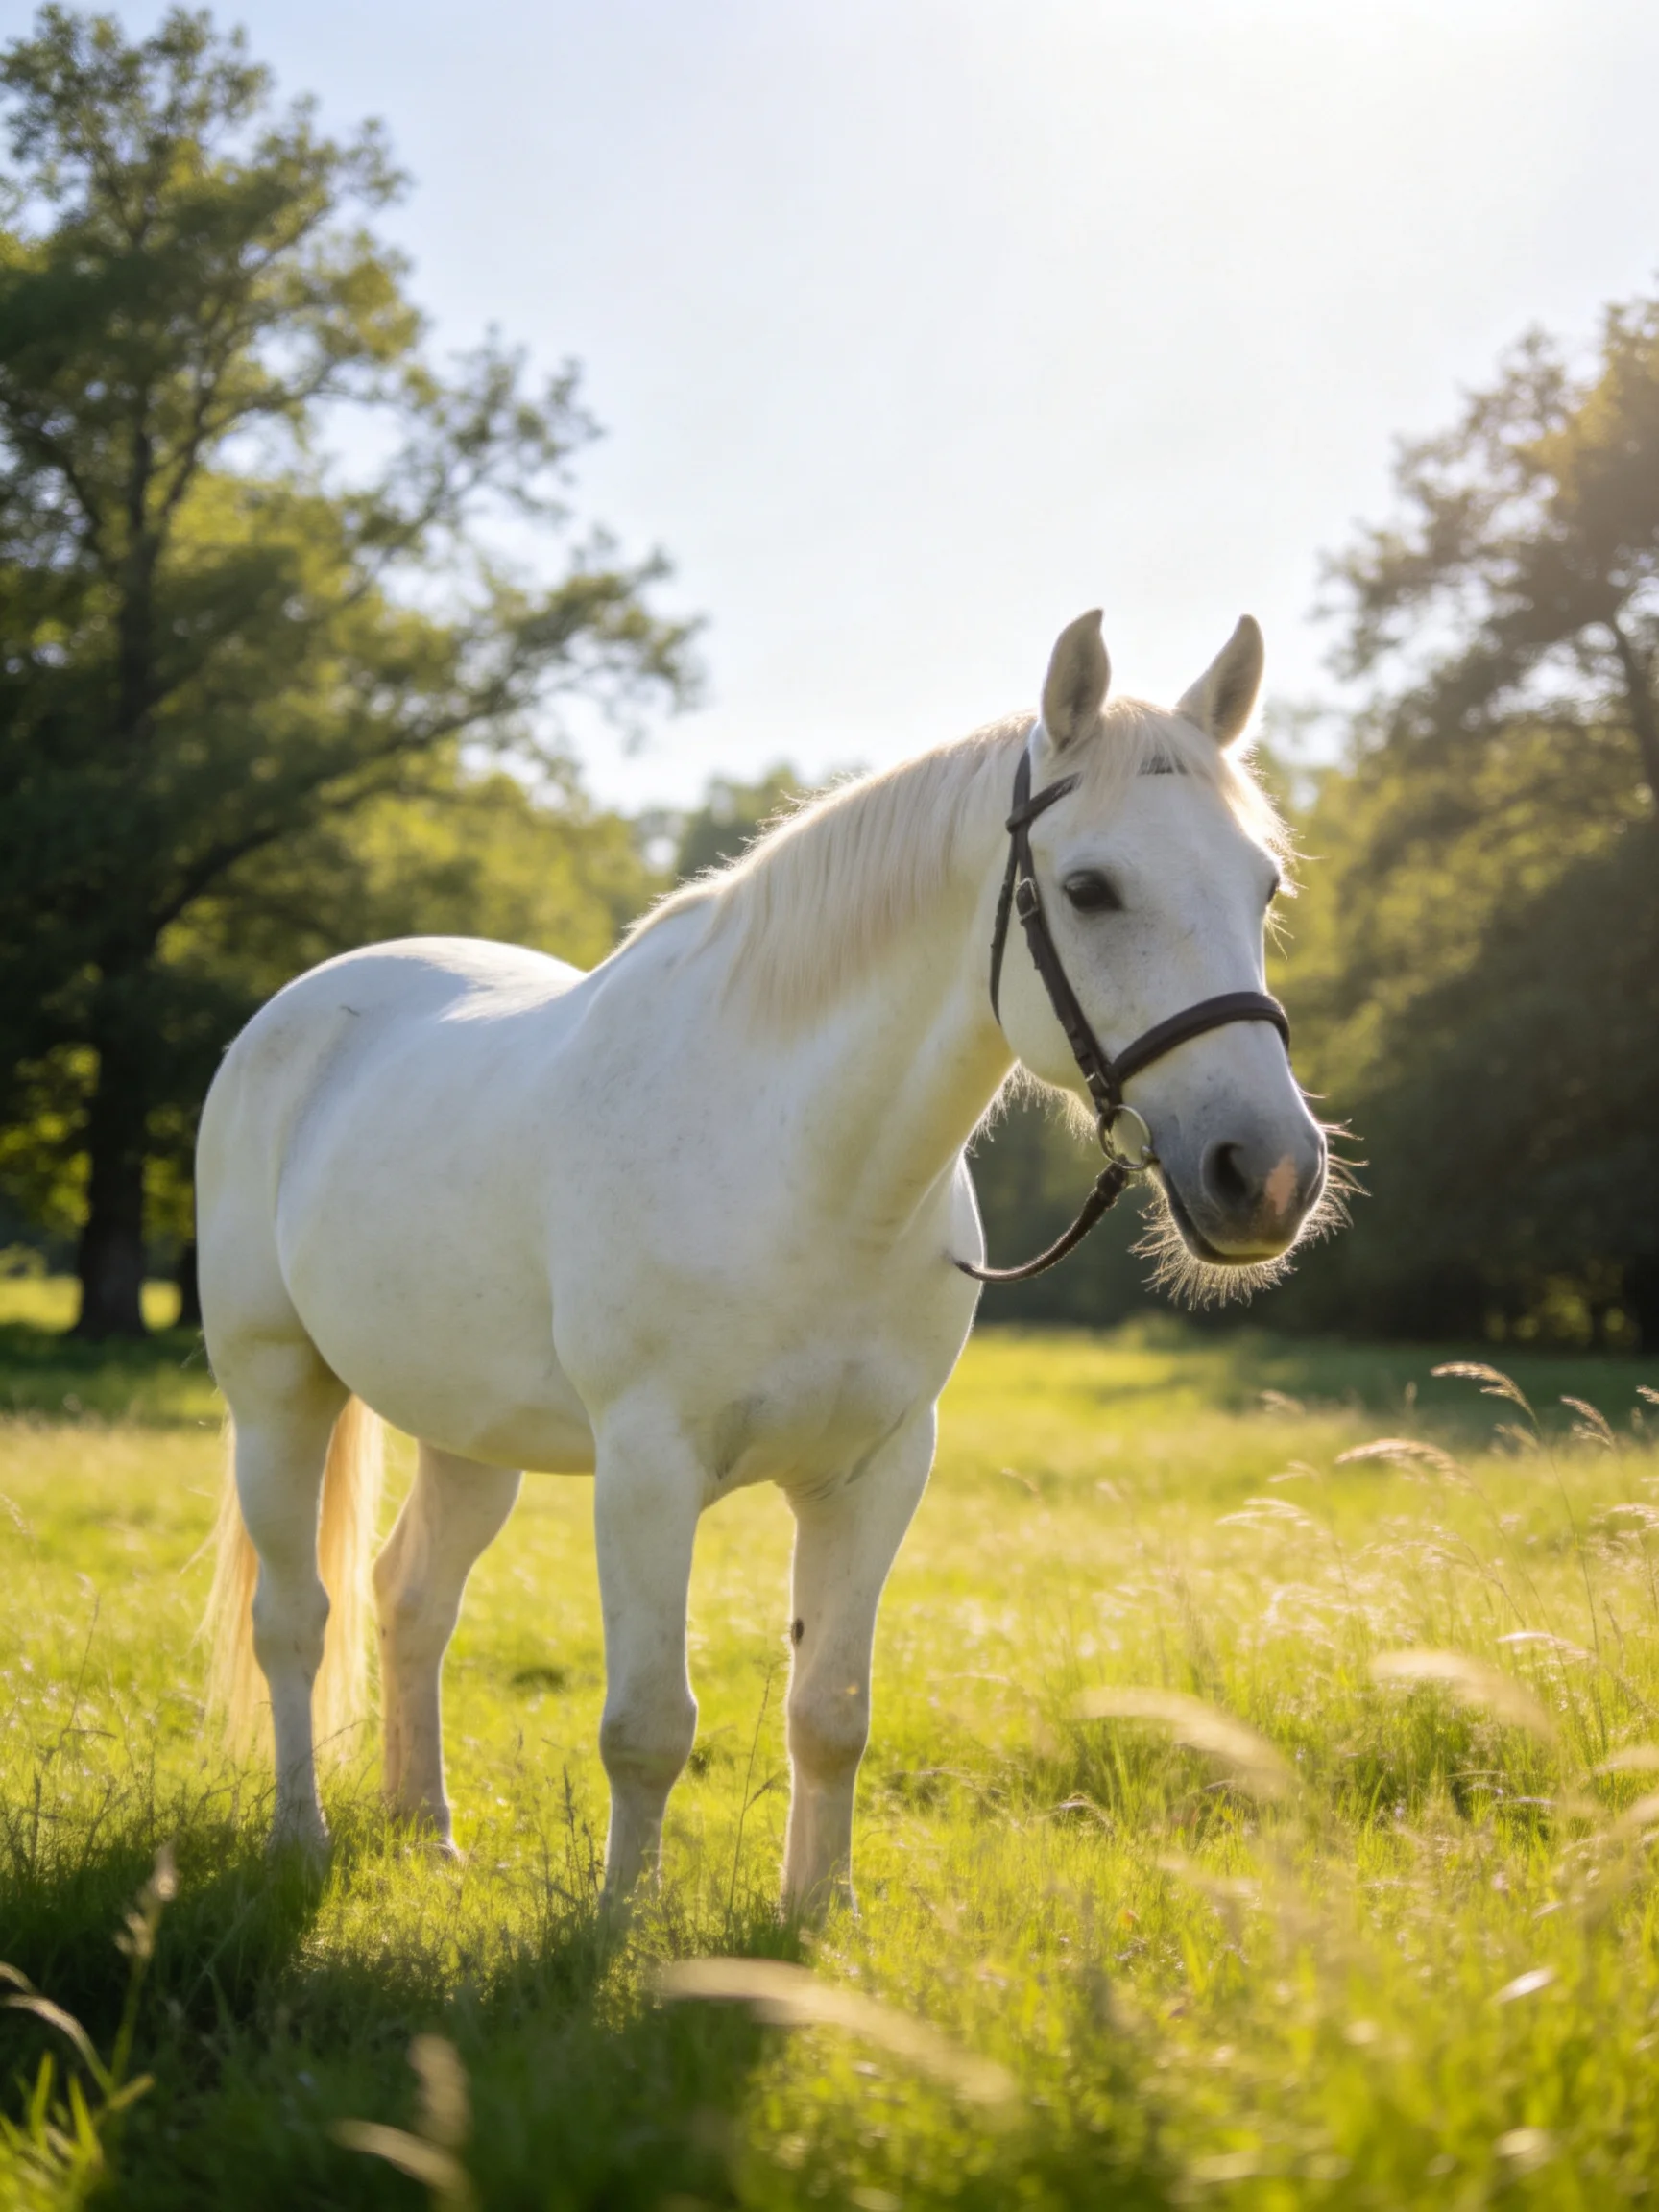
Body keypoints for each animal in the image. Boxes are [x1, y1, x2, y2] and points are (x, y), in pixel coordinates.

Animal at [199, 609, 1329, 1910]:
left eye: (1264, 884)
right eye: (1091, 889)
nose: (1269, 1172)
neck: (814, 1173)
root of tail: (298, 1009)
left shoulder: (877, 1472)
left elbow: (830, 1713)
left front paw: (816, 1915)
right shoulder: (647, 1469)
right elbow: (647, 1725)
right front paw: (615, 1926)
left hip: (468, 1433)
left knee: (412, 1600)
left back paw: (426, 1829)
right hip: (277, 1392)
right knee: (295, 1618)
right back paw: (303, 1839)